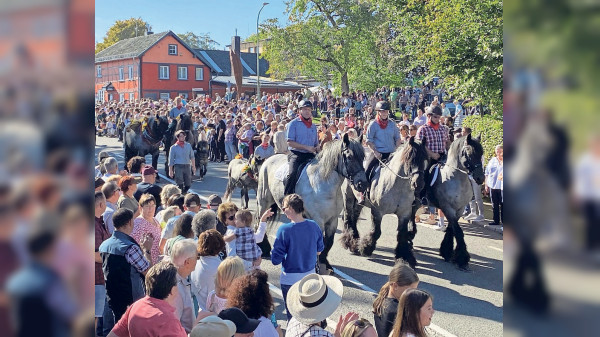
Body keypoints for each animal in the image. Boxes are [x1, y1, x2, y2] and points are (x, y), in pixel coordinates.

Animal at [256, 133, 368, 272]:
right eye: (349, 157)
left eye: (363, 157)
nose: (363, 184)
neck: (324, 184)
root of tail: (269, 159)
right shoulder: (318, 219)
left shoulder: (332, 220)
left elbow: (328, 242)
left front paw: (325, 264)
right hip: (263, 200)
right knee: (260, 220)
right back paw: (263, 249)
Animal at [340, 135, 428, 266]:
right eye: (410, 159)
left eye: (424, 160)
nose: (419, 183)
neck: (397, 186)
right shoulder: (378, 211)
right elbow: (376, 231)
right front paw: (366, 248)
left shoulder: (404, 214)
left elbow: (401, 235)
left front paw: (404, 257)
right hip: (348, 196)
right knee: (347, 217)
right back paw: (349, 242)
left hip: (359, 201)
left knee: (354, 217)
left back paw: (355, 241)